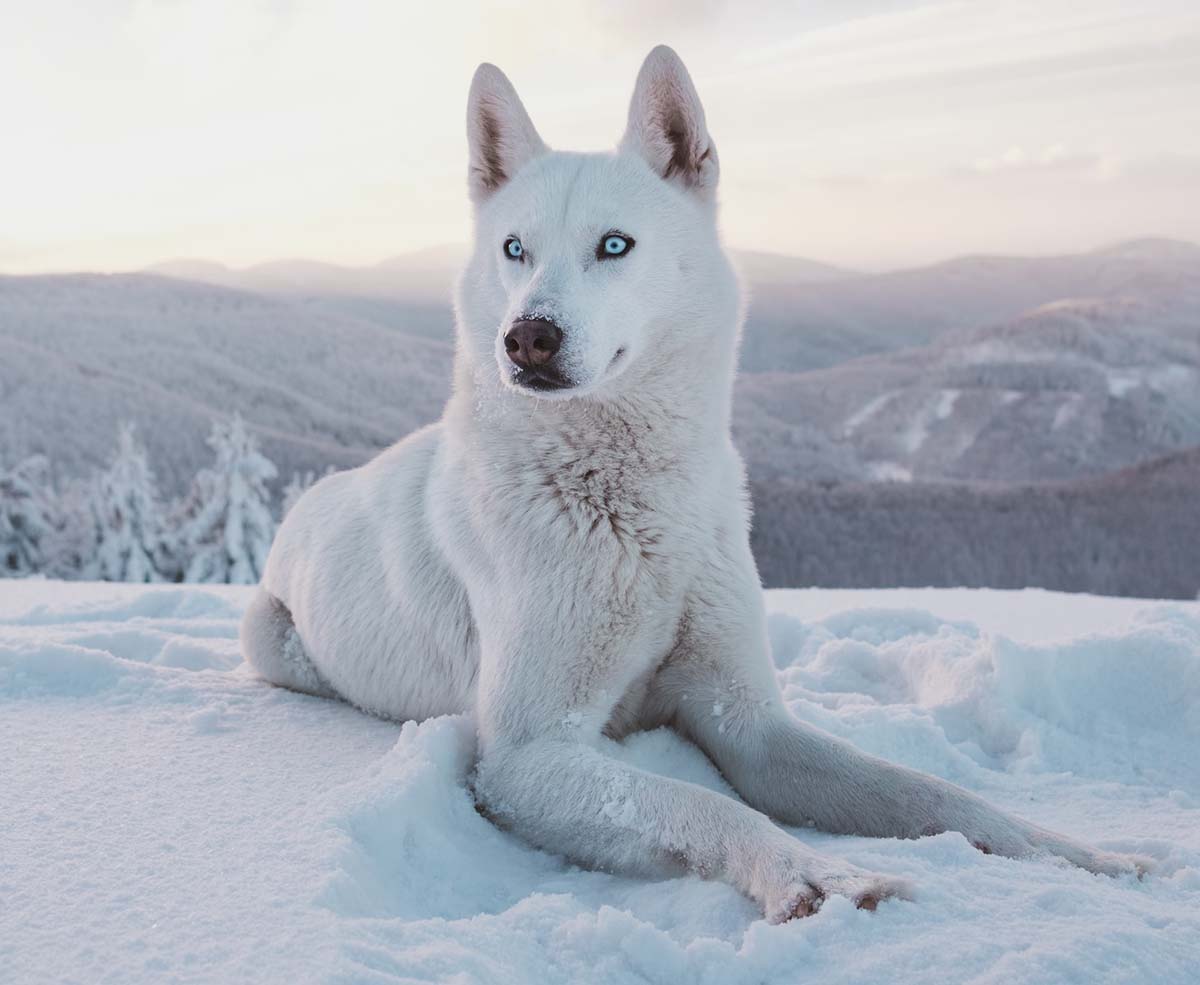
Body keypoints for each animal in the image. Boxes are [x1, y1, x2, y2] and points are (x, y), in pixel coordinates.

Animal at [238, 46, 1147, 921]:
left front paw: (1078, 854)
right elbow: (706, 804)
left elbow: (931, 793)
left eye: (614, 245)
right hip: (271, 639)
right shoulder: (530, 755)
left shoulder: (750, 724)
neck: (635, 510)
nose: (526, 337)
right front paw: (817, 874)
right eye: (514, 249)